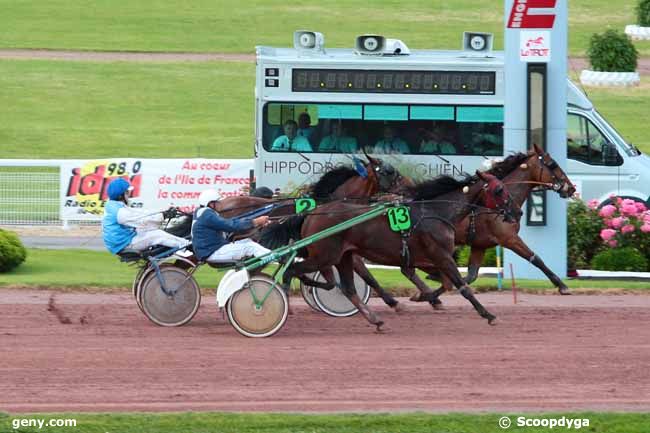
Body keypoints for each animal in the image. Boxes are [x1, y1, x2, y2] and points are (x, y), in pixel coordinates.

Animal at [268, 170, 516, 330]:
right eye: (499, 189)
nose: (517, 211)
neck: (435, 212)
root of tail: (310, 214)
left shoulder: (426, 257)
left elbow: (443, 281)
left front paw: (424, 297)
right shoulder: (440, 255)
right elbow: (462, 286)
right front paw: (488, 315)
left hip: (342, 256)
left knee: (346, 288)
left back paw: (375, 320)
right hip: (326, 255)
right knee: (292, 271)